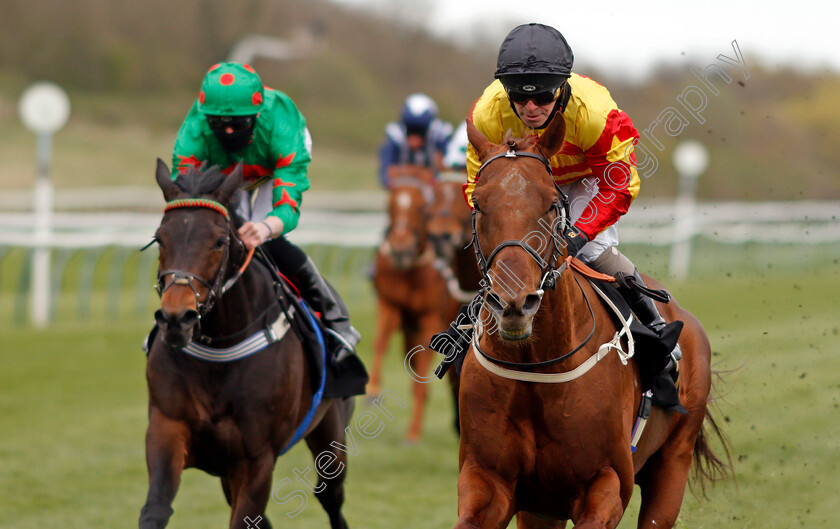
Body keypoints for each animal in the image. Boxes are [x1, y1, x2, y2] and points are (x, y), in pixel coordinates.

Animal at [143, 160, 352, 528]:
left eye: (218, 241)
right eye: (159, 238)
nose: (176, 319)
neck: (220, 349)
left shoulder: (257, 458)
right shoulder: (167, 427)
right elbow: (155, 509)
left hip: (332, 432)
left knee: (330, 495)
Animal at [368, 165, 460, 442]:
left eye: (421, 208)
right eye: (389, 204)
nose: (400, 247)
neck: (410, 270)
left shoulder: (430, 319)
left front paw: (412, 434)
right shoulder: (389, 305)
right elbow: (379, 343)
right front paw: (372, 389)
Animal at [452, 119, 728, 528]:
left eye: (551, 204)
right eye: (479, 204)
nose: (514, 304)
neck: (536, 365)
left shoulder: (607, 483)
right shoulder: (488, 480)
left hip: (672, 465)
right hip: (541, 508)